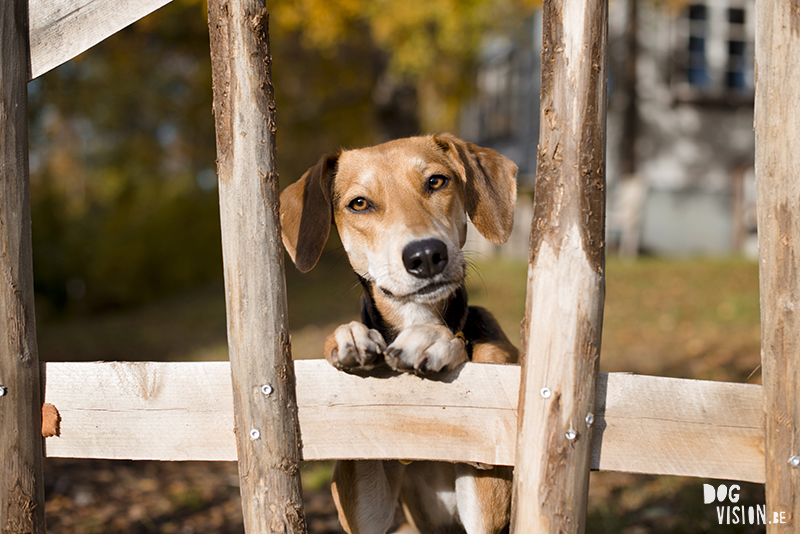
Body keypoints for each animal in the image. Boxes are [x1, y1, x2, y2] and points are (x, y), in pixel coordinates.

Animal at [280, 134, 520, 534]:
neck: (414, 315)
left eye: (436, 181)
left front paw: (435, 339)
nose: (425, 255)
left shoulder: (488, 495)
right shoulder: (366, 508)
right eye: (359, 203)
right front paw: (350, 336)